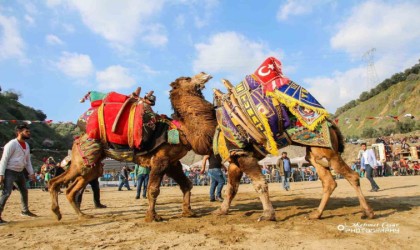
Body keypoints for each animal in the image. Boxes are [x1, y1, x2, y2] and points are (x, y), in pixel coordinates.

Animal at [48, 72, 217, 221]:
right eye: (188, 78)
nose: (205, 74)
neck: (183, 131)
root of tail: (78, 139)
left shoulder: (172, 163)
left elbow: (187, 185)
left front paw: (188, 212)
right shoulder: (160, 160)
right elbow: (153, 190)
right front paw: (152, 217)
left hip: (92, 166)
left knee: (71, 189)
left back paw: (82, 215)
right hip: (82, 161)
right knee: (55, 182)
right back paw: (57, 213)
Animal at [169, 76, 376, 221]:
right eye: (187, 79)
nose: (204, 75)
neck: (213, 130)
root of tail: (331, 123)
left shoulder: (244, 155)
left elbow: (260, 184)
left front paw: (268, 215)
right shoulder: (236, 158)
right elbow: (231, 189)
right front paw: (221, 211)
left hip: (328, 150)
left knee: (352, 176)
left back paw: (368, 212)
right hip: (315, 153)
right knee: (329, 182)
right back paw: (316, 214)